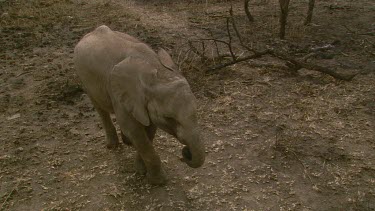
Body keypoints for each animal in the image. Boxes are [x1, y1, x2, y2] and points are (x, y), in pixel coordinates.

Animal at [74, 25, 206, 185]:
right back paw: (113, 146)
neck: (156, 69)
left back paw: (127, 142)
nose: (185, 153)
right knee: (100, 108)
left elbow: (149, 130)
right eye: (169, 118)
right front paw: (158, 181)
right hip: (83, 78)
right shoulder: (119, 93)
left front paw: (141, 170)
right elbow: (133, 129)